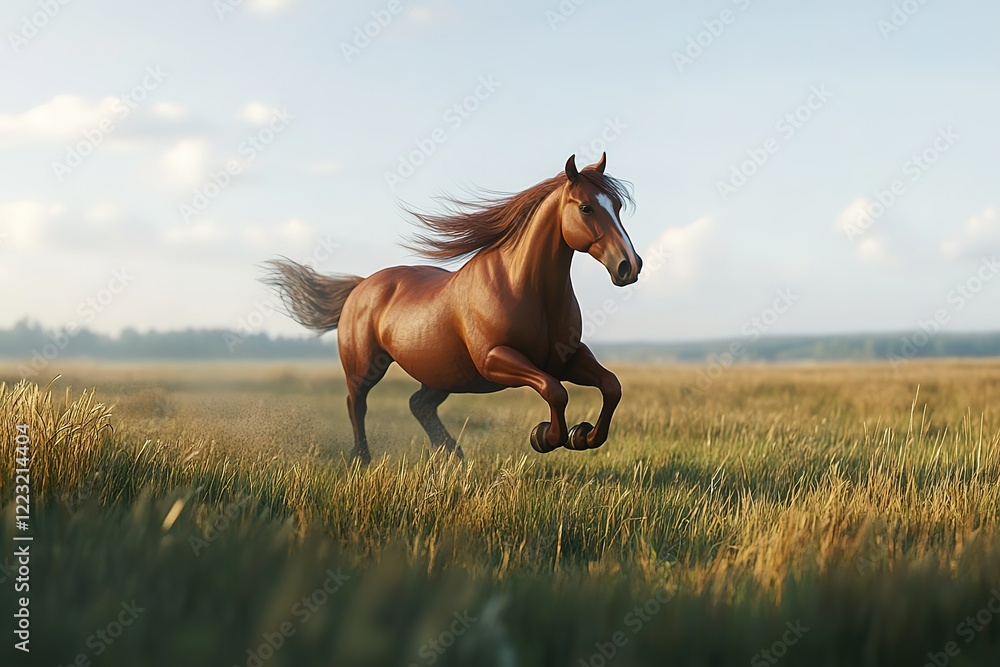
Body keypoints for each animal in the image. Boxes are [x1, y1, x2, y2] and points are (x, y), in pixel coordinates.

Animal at [266, 153, 642, 462]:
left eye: (618, 206)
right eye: (586, 208)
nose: (629, 266)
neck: (527, 289)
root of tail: (361, 286)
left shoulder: (566, 357)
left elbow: (611, 386)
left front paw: (584, 437)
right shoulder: (495, 359)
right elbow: (555, 390)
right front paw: (545, 437)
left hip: (441, 373)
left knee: (418, 405)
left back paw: (452, 454)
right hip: (366, 367)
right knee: (356, 402)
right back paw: (362, 458)